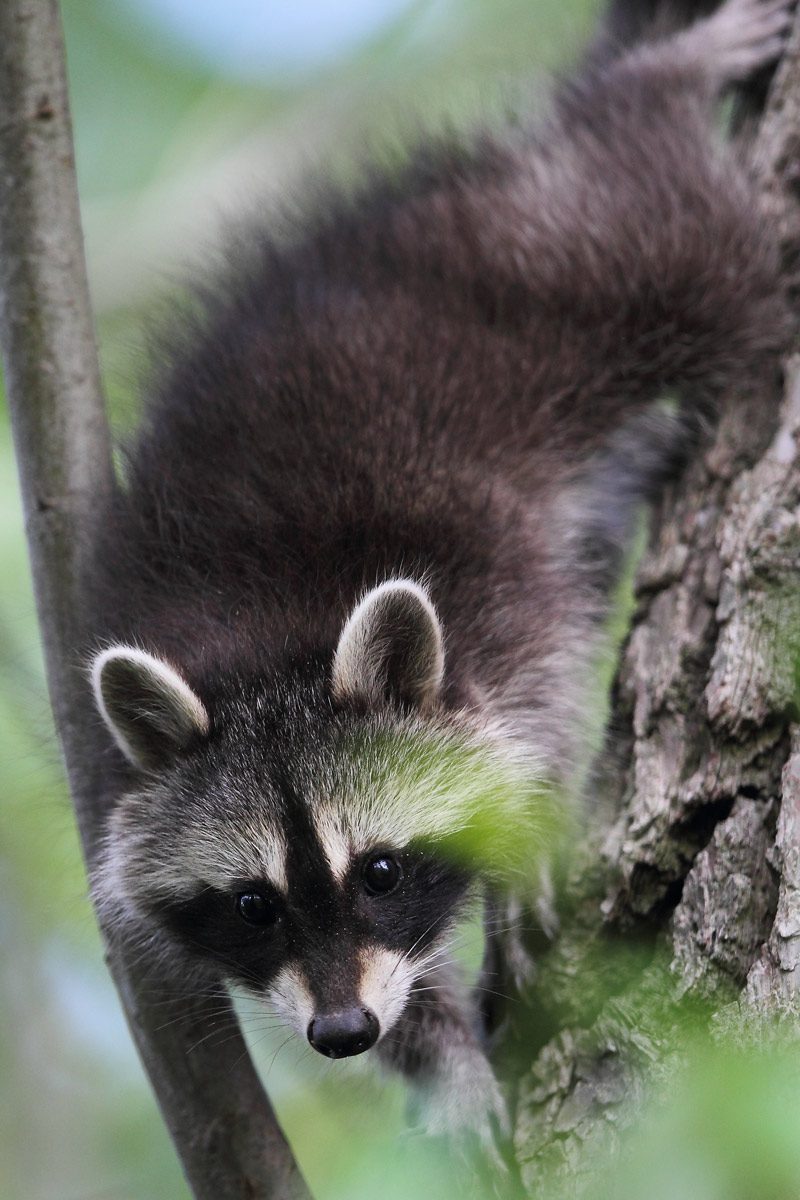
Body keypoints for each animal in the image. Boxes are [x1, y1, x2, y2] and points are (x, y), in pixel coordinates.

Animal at [90, 0, 791, 1161]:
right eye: (253, 904)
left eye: (378, 871)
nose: (341, 1034)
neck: (267, 649)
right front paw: (435, 1052)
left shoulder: (488, 576)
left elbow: (542, 697)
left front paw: (524, 835)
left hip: (561, 279)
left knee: (662, 222)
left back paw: (640, 97)